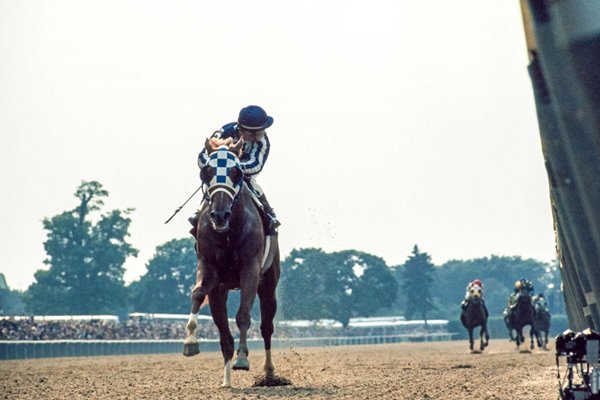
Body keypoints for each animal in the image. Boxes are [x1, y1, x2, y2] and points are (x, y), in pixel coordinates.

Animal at [183, 138, 282, 388]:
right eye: (206, 171)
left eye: (236, 172)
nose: (220, 214)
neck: (227, 233)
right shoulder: (209, 269)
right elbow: (198, 294)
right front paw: (190, 341)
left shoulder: (250, 269)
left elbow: (243, 315)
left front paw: (242, 359)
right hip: (222, 289)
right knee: (224, 333)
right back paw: (227, 380)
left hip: (269, 284)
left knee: (267, 328)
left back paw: (269, 372)